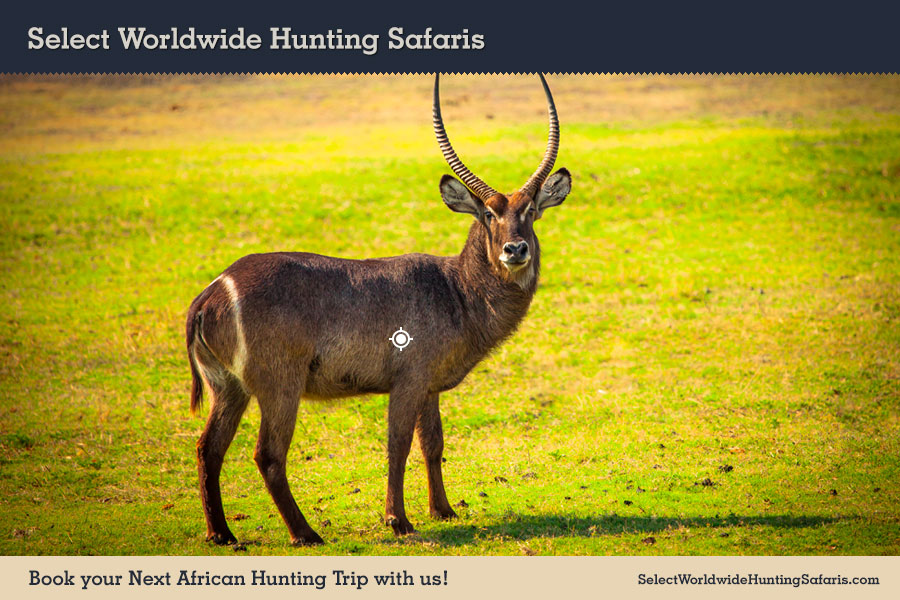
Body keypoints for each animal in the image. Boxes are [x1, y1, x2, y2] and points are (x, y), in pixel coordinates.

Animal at [186, 72, 572, 548]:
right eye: (486, 213)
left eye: (531, 210)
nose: (514, 250)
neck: (457, 289)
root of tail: (212, 293)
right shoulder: (408, 380)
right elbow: (398, 445)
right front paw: (398, 521)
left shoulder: (429, 385)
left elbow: (433, 443)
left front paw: (443, 510)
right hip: (280, 384)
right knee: (268, 454)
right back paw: (306, 534)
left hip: (228, 386)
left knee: (209, 448)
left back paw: (221, 533)